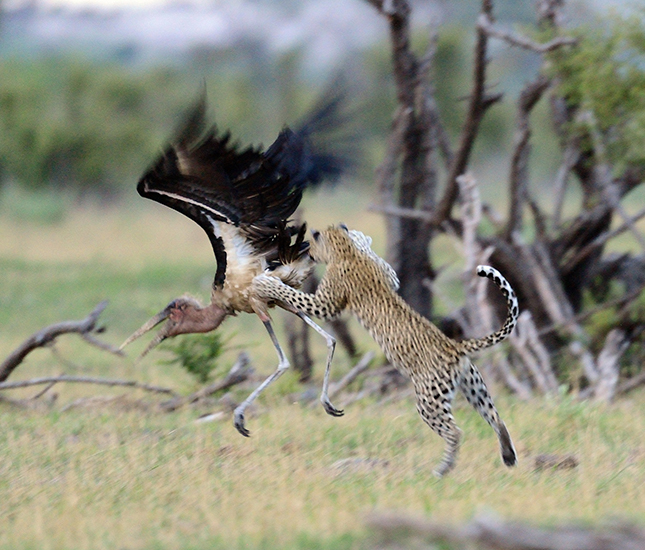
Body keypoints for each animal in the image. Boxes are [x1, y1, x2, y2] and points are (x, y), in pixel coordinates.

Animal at [253, 224, 518, 477]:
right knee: (496, 417)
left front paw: (267, 283)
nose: (307, 255)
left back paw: (443, 469)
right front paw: (360, 239)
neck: (344, 253)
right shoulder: (390, 277)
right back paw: (508, 457)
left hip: (429, 399)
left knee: (455, 431)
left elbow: (295, 295)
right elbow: (386, 267)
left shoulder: (325, 304)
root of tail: (456, 346)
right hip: (474, 387)